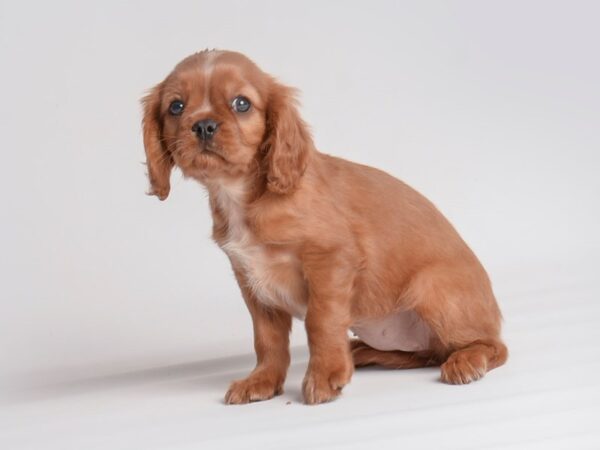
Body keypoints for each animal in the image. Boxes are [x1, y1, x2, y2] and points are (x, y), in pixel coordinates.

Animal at [141, 51, 506, 406]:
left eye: (241, 103)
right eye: (176, 106)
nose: (203, 125)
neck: (242, 195)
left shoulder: (331, 259)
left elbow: (321, 320)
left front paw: (325, 375)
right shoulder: (251, 279)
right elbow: (267, 339)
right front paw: (262, 381)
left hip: (431, 288)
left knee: (491, 347)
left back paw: (466, 361)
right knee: (425, 352)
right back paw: (362, 352)